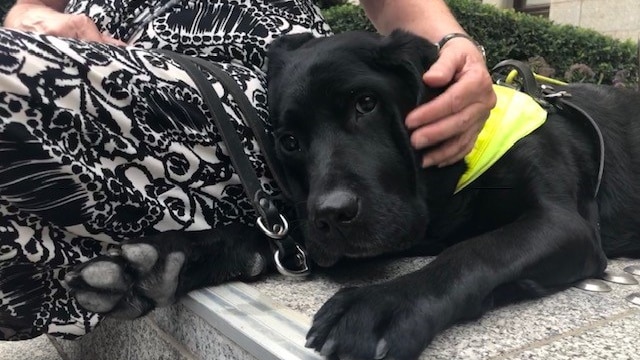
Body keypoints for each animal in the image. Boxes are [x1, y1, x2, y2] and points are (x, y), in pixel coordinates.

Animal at [66, 31, 640, 360]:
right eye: (290, 141)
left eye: (366, 103)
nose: (332, 215)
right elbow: (273, 232)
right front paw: (153, 261)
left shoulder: (562, 221)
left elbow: (476, 252)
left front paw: (380, 306)